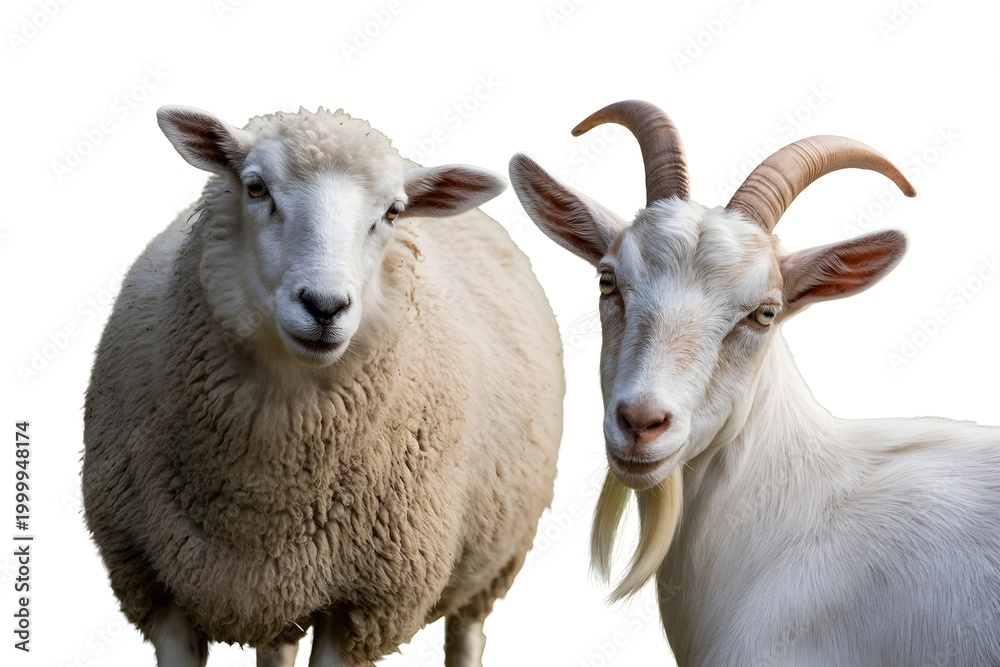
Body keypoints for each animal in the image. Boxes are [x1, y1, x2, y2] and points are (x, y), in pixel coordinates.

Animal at [82, 105, 564, 667]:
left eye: (393, 213)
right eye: (255, 187)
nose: (324, 306)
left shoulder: (362, 607)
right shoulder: (156, 586)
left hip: (493, 564)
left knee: (467, 632)